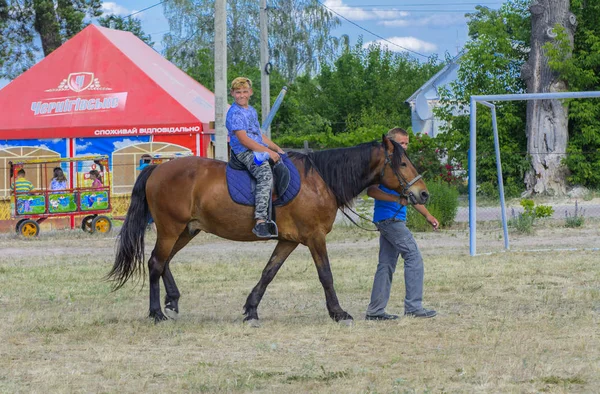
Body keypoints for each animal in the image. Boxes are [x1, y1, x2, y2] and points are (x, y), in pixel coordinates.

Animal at [108, 134, 426, 324]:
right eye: (402, 163)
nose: (422, 194)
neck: (320, 180)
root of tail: (157, 168)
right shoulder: (314, 237)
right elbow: (326, 275)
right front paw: (338, 312)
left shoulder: (288, 240)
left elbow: (268, 272)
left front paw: (251, 309)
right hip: (171, 228)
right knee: (155, 262)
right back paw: (156, 312)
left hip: (187, 230)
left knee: (164, 262)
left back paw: (172, 301)